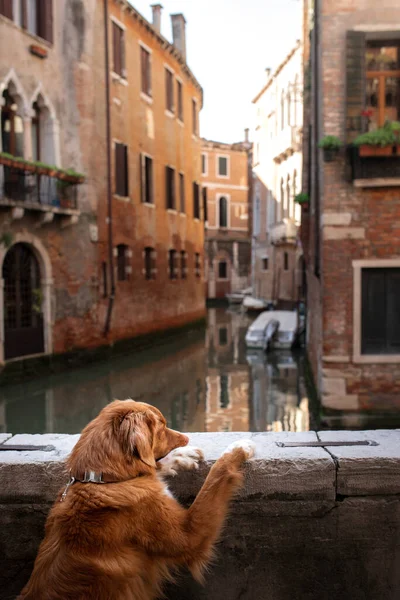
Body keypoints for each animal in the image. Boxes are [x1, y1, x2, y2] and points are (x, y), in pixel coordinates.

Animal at [18, 398, 255, 600]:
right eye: (162, 427)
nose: (187, 438)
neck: (104, 481)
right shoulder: (188, 535)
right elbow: (213, 481)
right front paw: (237, 448)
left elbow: (152, 466)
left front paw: (180, 457)